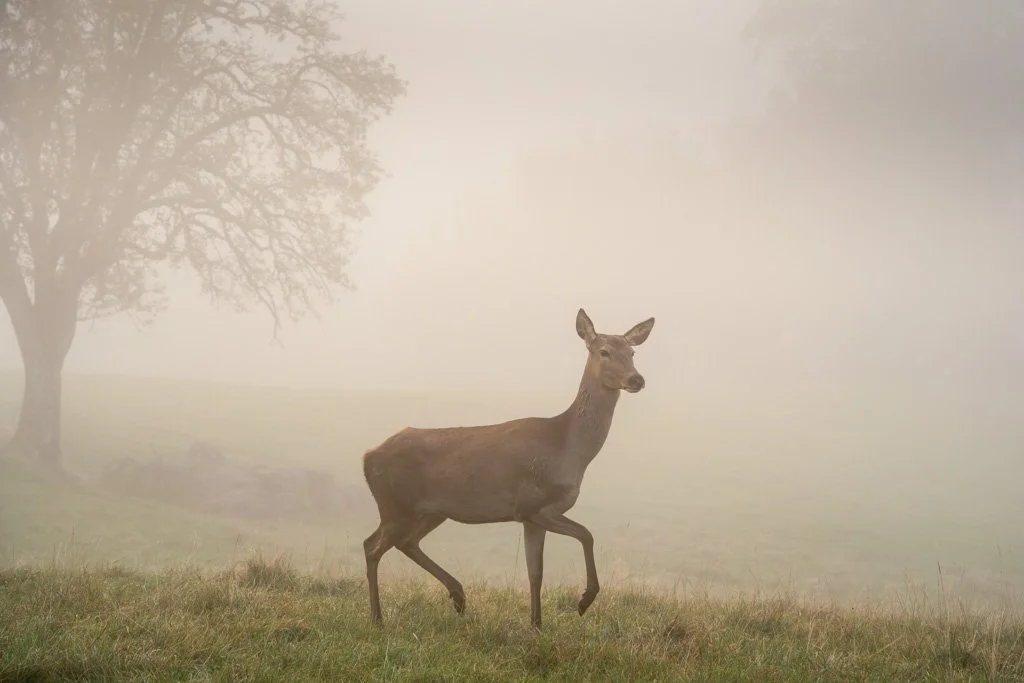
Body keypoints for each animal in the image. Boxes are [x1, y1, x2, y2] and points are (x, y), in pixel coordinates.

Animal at [360, 308, 655, 629]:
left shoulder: (531, 518)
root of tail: (367, 456)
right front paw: (584, 600)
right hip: (395, 506)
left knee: (404, 543)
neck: (567, 448)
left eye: (632, 352)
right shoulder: (532, 504)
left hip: (429, 511)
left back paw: (458, 595)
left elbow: (535, 574)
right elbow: (586, 534)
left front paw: (536, 625)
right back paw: (377, 618)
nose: (637, 379)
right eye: (604, 351)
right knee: (372, 546)